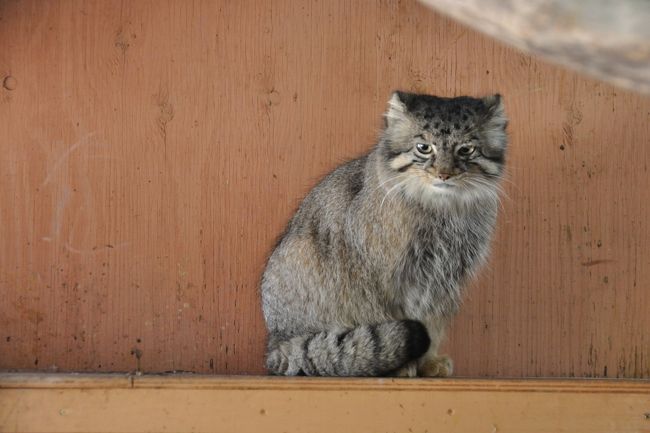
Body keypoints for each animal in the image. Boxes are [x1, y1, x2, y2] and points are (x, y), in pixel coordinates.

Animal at [260, 90, 506, 374]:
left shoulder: (443, 281)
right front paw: (403, 367)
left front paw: (428, 361)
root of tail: (275, 344)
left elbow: (432, 321)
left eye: (466, 149)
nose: (444, 174)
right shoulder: (377, 278)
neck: (443, 209)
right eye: (424, 148)